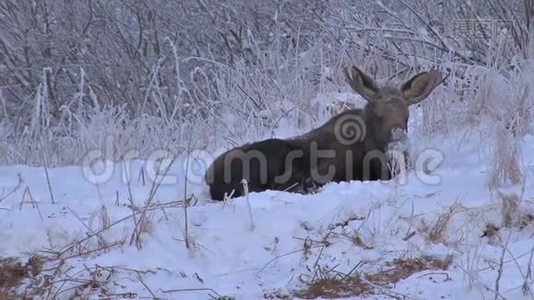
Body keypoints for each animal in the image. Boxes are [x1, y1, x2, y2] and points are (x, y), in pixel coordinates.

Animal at [205, 65, 444, 202]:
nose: (399, 139)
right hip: (274, 152)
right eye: (378, 115)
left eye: (406, 116)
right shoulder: (328, 169)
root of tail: (209, 178)